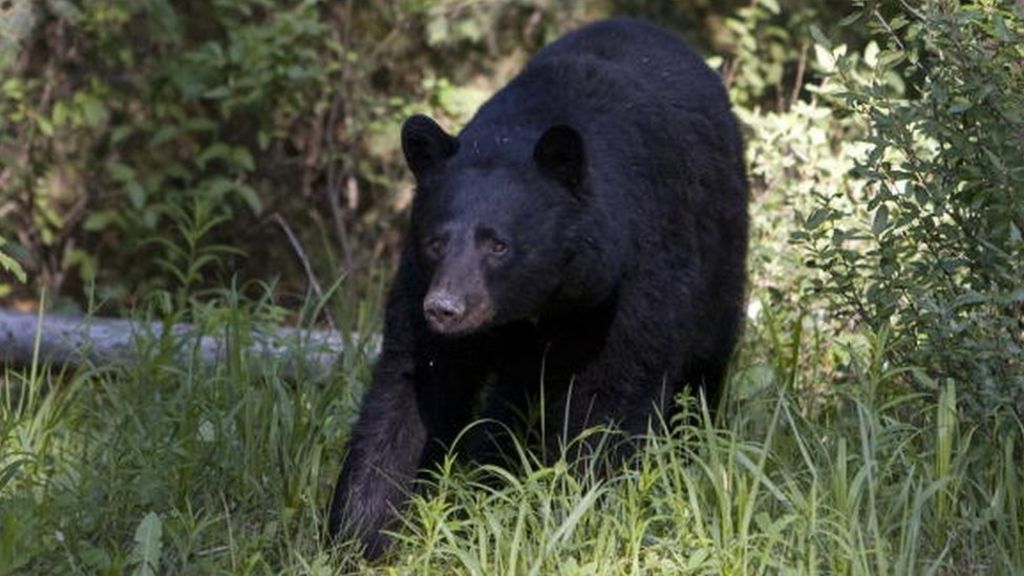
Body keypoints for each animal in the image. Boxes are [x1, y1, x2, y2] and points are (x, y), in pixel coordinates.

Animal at [328, 17, 748, 559]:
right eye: (436, 241)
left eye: (498, 245)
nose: (445, 309)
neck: (543, 303)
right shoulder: (418, 284)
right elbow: (408, 389)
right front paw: (360, 536)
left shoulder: (633, 279)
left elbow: (610, 398)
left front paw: (578, 517)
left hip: (721, 261)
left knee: (704, 363)